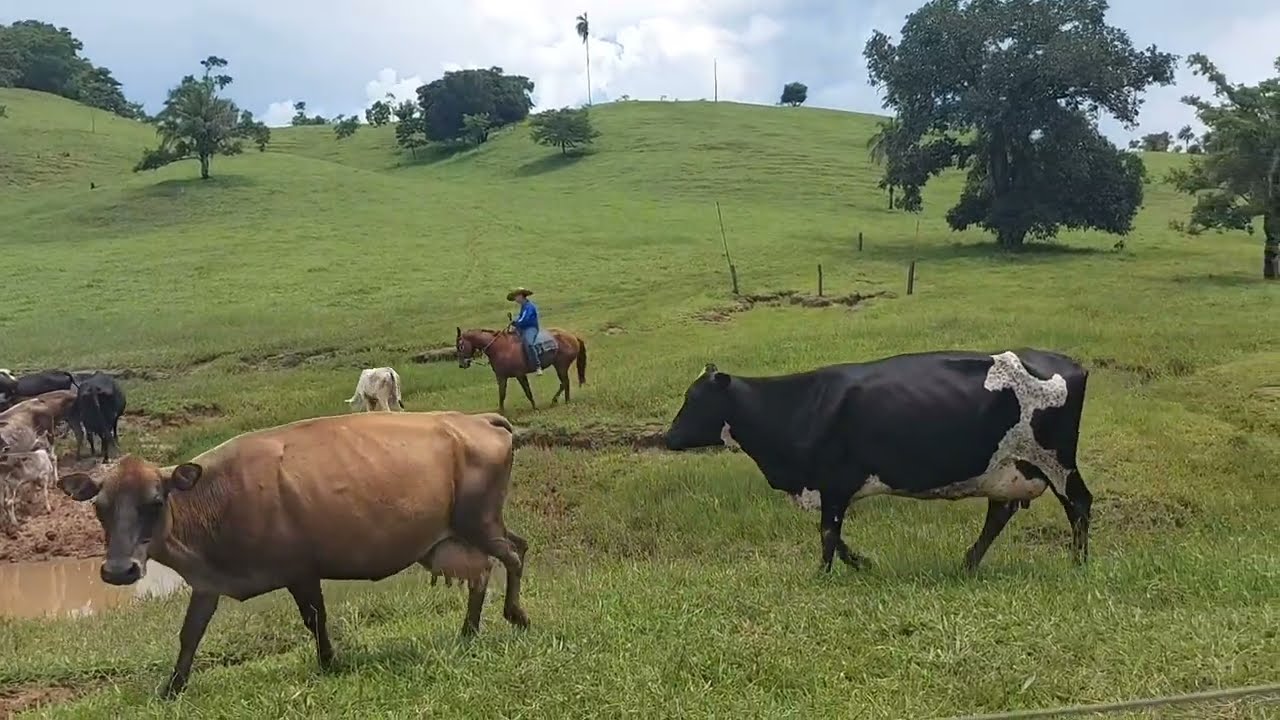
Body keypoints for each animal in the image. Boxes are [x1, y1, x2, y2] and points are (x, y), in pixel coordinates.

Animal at [57, 410, 531, 698]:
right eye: (99, 507)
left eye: (155, 502)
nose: (119, 570)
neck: (218, 500)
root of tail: (477, 419)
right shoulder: (207, 583)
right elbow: (190, 633)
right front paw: (173, 687)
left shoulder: (300, 569)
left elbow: (315, 618)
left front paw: (330, 661)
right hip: (461, 534)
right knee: (489, 567)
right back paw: (469, 630)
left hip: (480, 521)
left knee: (513, 555)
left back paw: (517, 616)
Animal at [663, 349, 1093, 574]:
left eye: (694, 399)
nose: (667, 437)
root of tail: (1069, 363)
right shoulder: (828, 488)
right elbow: (836, 537)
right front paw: (863, 564)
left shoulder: (834, 482)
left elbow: (828, 534)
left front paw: (823, 575)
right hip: (1006, 469)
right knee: (999, 514)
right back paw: (968, 563)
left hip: (1056, 461)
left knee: (1079, 504)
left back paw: (1078, 563)